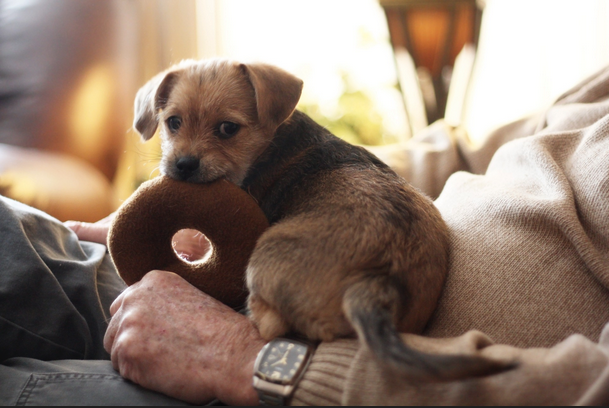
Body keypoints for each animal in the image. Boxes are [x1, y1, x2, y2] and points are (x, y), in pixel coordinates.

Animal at [134, 58, 512, 380]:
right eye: (172, 122)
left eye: (228, 128)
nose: (183, 165)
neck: (268, 145)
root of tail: (377, 281)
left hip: (262, 259)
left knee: (270, 324)